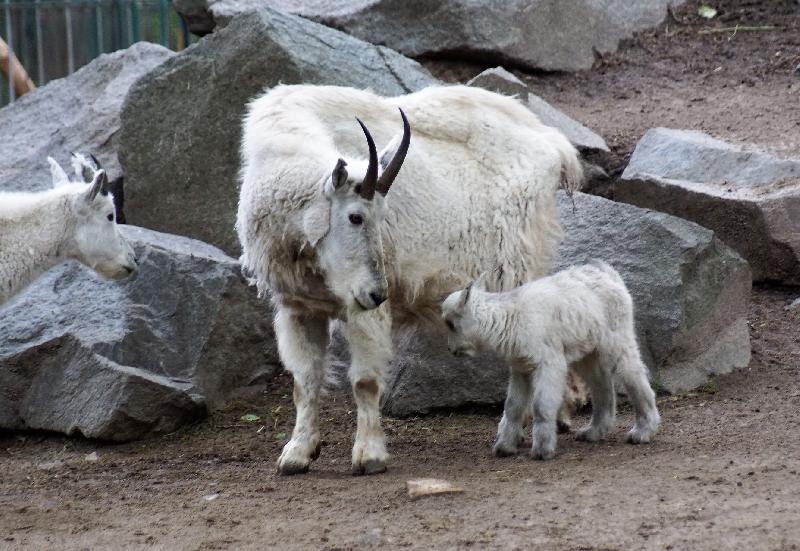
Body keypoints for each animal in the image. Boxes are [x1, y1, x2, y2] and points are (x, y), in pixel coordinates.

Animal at [237, 84, 583, 475]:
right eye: (355, 217)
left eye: (382, 216)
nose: (378, 293)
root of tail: (553, 144)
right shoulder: (299, 305)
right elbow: (305, 381)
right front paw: (296, 454)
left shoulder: (362, 310)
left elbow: (365, 381)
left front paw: (369, 456)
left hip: (518, 265)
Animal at [441, 261, 661, 460]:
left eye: (450, 324)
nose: (450, 349)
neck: (511, 317)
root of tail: (610, 274)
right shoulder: (521, 368)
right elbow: (512, 406)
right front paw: (504, 447)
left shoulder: (549, 364)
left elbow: (541, 405)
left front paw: (542, 450)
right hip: (589, 354)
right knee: (602, 386)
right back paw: (593, 432)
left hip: (618, 342)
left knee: (635, 377)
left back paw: (643, 431)